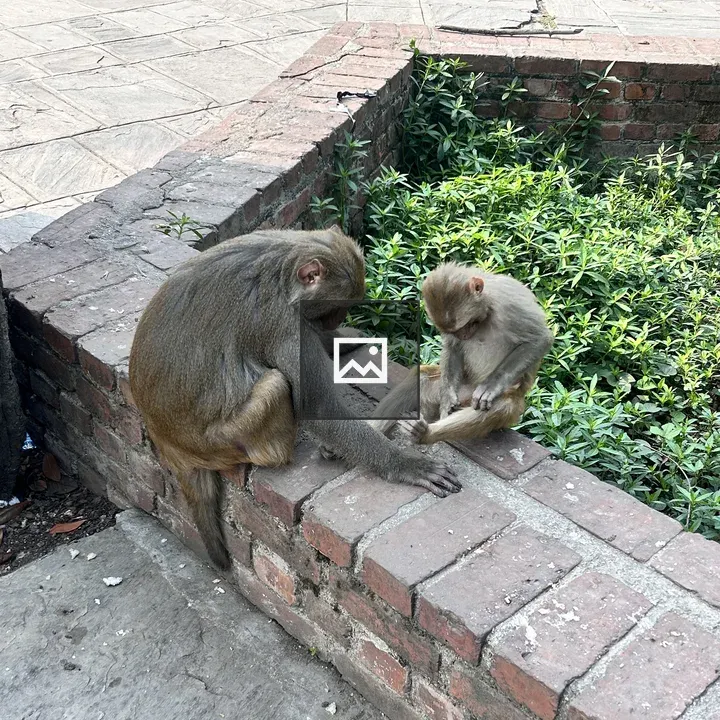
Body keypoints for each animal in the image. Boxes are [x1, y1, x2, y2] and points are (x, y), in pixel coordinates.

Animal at [128, 228, 459, 570]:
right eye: (333, 308)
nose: (332, 323)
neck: (282, 268)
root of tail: (171, 444)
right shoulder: (287, 324)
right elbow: (319, 408)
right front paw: (405, 464)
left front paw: (343, 339)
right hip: (224, 440)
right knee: (275, 385)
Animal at [368, 262, 553, 445]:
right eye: (455, 331)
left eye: (466, 325)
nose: (463, 335)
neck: (489, 306)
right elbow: (453, 346)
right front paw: (448, 397)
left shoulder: (510, 304)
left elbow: (541, 339)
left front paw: (490, 386)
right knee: (421, 377)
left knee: (502, 406)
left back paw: (424, 434)